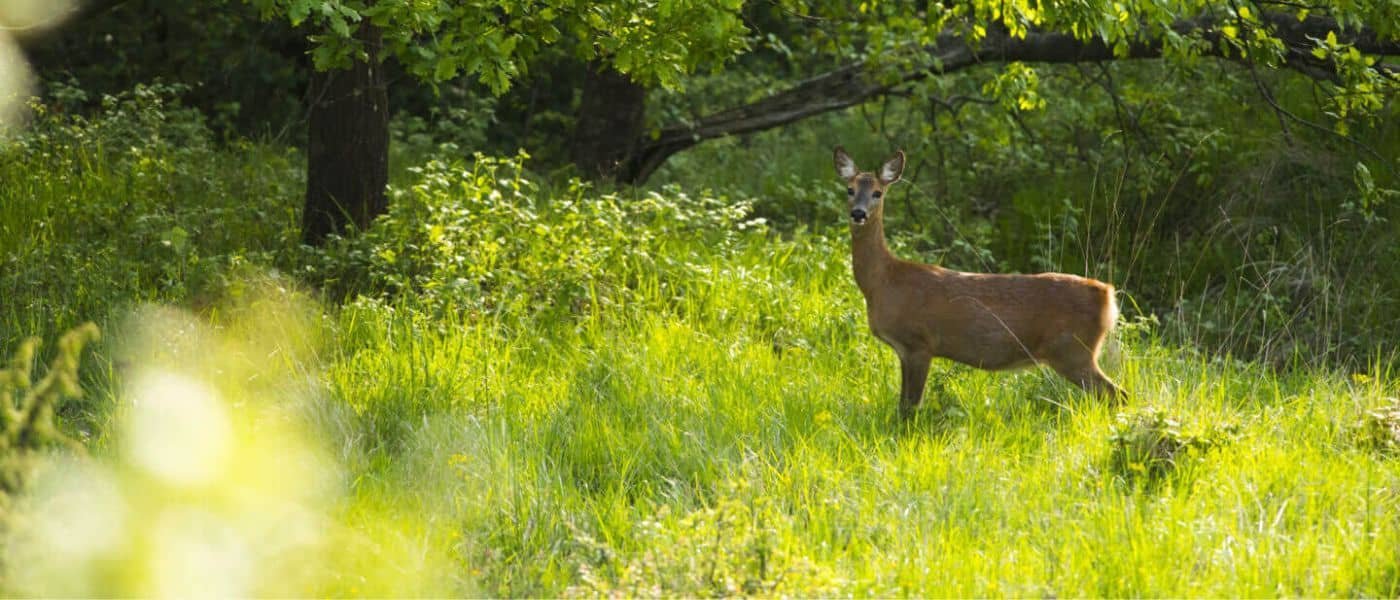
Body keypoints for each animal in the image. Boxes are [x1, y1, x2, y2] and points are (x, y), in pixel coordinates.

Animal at [828, 144, 1125, 416]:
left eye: (877, 193)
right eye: (849, 190)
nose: (858, 213)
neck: (884, 282)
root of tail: (1107, 295)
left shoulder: (920, 343)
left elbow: (911, 408)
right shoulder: (905, 351)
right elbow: (902, 406)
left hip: (1073, 350)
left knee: (1117, 393)